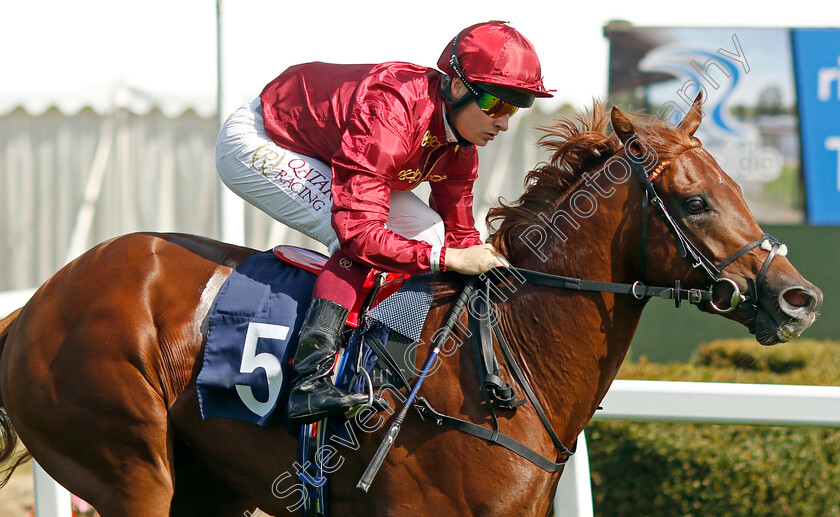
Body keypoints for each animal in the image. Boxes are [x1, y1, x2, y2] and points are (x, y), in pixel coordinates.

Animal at [0, 99, 820, 512]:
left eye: (742, 188)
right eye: (695, 200)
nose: (800, 297)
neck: (506, 359)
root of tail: (34, 304)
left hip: (206, 488)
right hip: (128, 463)